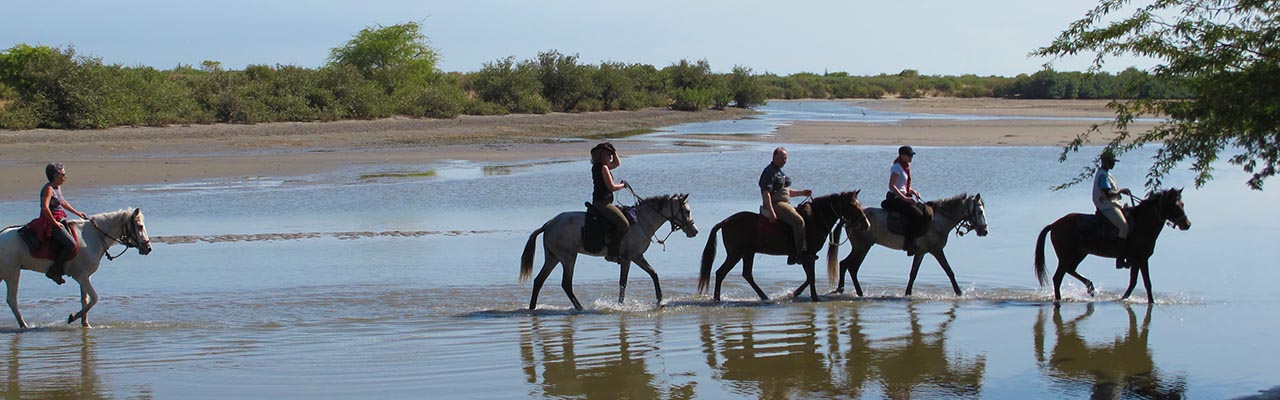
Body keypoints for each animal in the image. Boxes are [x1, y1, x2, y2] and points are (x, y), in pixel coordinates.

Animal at [0, 208, 152, 328]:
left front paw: (85, 323)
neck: (93, 237)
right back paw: (23, 325)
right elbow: (94, 298)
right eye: (139, 226)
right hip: (12, 274)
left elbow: (84, 300)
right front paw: (73, 317)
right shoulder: (81, 277)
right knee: (12, 300)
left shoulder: (85, 277)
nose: (148, 248)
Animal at [519, 193, 701, 308]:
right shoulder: (632, 257)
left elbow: (648, 276)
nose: (694, 231)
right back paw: (580, 308)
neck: (641, 221)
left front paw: (658, 301)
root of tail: (548, 224)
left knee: (539, 281)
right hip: (568, 258)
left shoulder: (634, 258)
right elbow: (628, 281)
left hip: (553, 257)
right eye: (686, 211)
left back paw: (533, 308)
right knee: (566, 284)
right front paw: (625, 305)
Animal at [824, 193, 993, 297]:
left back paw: (844, 290)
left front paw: (907, 293)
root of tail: (849, 218)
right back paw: (855, 292)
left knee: (846, 265)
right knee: (850, 266)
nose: (984, 231)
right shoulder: (936, 250)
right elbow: (949, 271)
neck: (938, 221)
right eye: (979, 211)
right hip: (862, 247)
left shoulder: (921, 252)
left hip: (861, 247)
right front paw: (959, 293)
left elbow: (913, 274)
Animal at [1034, 188, 1192, 301]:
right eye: (1175, 206)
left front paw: (1123, 298)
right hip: (1066, 255)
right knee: (1058, 277)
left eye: (1182, 204)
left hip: (1080, 253)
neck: (1141, 224)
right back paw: (1060, 299)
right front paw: (1151, 301)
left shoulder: (1135, 260)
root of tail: (1054, 225)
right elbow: (1147, 283)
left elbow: (1133, 282)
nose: (1187, 224)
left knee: (1070, 270)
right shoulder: (1142, 259)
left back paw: (1090, 287)